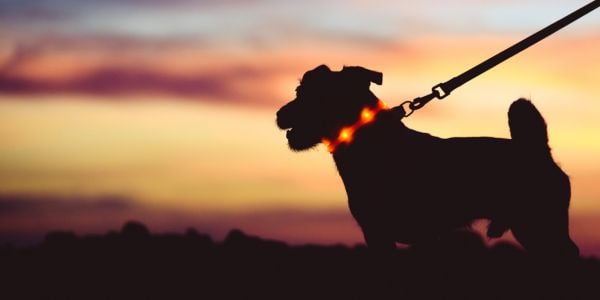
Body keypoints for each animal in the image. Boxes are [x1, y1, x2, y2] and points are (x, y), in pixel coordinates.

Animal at [278, 63, 580, 258]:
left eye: (306, 95)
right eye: (298, 91)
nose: (279, 114)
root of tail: (537, 149)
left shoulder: (414, 235)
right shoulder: (378, 235)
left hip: (541, 225)